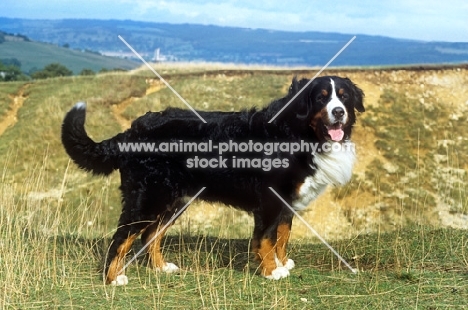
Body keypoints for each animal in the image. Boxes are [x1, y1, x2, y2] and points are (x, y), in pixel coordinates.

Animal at [60, 74, 364, 284]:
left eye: (344, 97)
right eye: (321, 98)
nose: (338, 112)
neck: (298, 133)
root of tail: (131, 131)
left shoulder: (287, 202)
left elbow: (282, 235)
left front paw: (282, 262)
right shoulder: (270, 200)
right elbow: (266, 238)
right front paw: (271, 271)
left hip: (173, 201)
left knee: (150, 235)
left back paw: (161, 267)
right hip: (147, 199)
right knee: (122, 237)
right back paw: (113, 278)